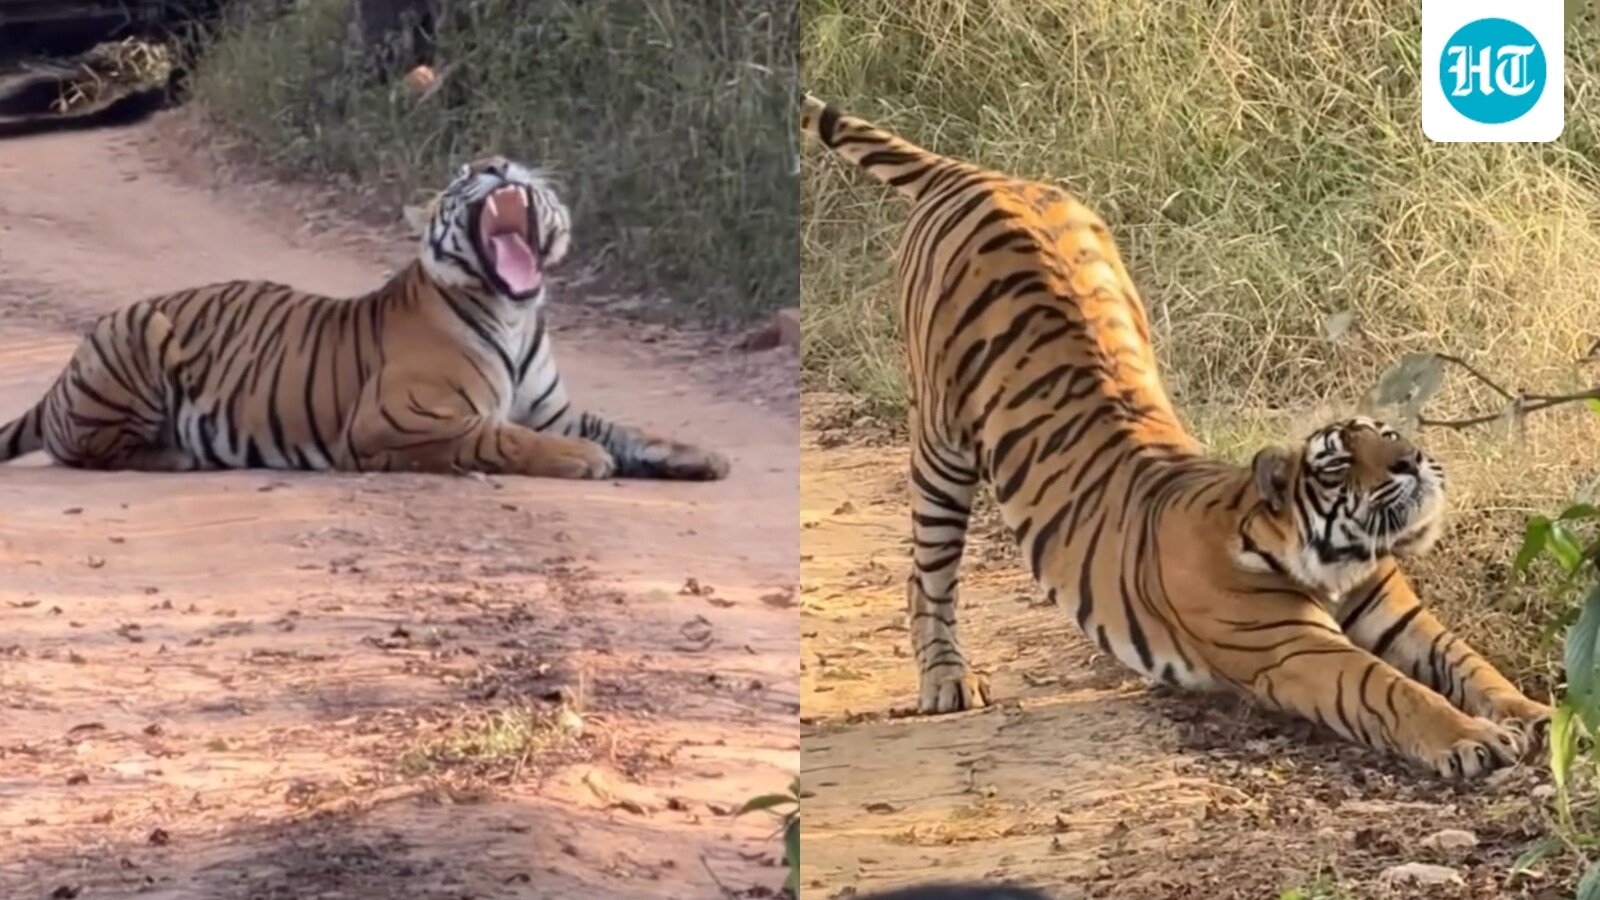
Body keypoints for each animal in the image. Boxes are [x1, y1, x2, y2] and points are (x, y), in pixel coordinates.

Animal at [0, 156, 729, 483]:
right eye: (464, 173)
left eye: (511, 161)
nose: (495, 163)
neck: (515, 313)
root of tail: (64, 372)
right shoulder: (403, 420)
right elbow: (504, 438)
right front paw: (586, 459)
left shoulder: (553, 408)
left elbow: (629, 429)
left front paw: (701, 455)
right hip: (136, 340)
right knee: (83, 448)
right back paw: (176, 455)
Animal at [800, 95, 1549, 778]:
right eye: (1340, 464)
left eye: (1389, 433)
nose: (1413, 461)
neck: (1333, 558)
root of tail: (977, 174)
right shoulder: (1295, 651)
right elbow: (1391, 690)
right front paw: (1473, 739)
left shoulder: (1402, 617)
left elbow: (1471, 664)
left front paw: (1536, 715)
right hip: (941, 444)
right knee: (926, 573)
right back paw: (947, 681)